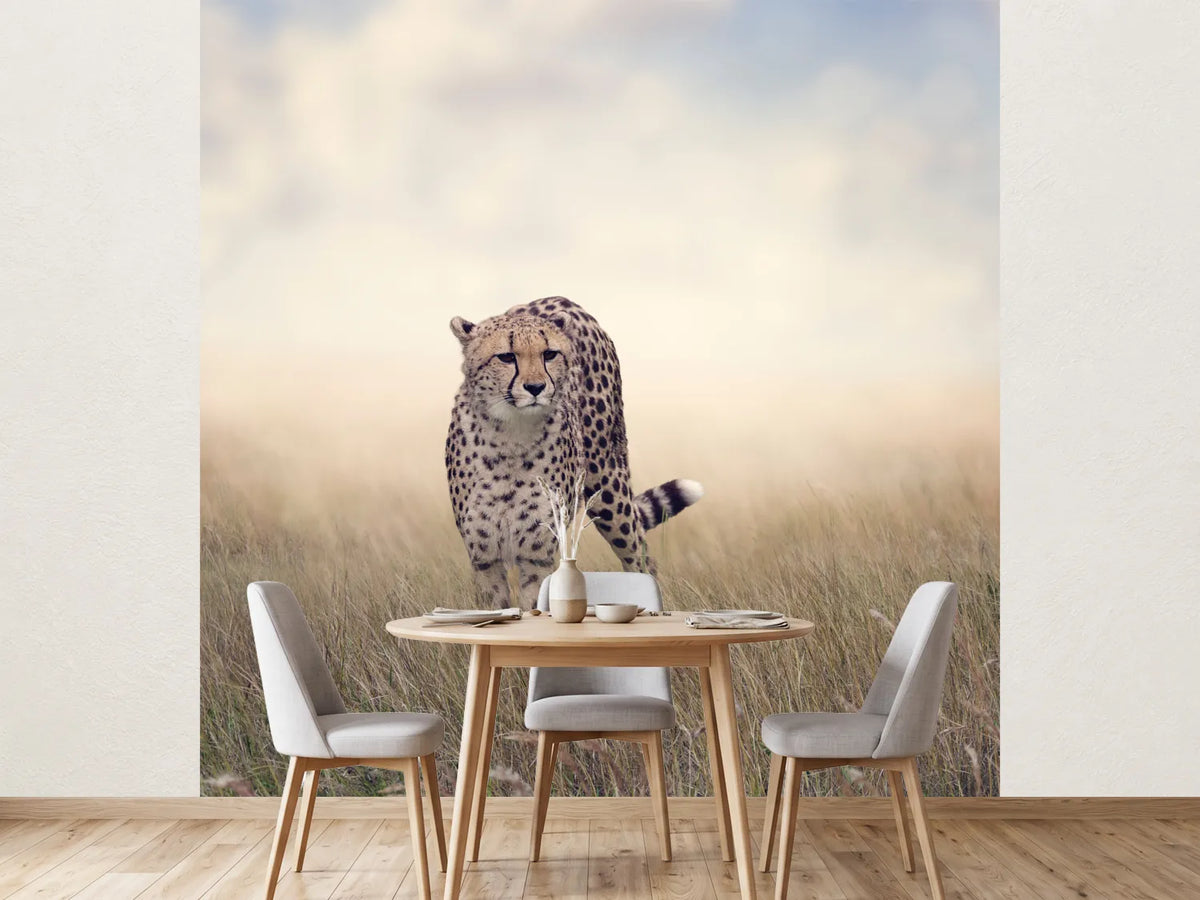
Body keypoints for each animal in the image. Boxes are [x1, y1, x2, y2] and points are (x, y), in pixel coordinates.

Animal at [445, 296, 703, 608]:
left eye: (549, 354)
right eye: (506, 357)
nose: (535, 387)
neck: (511, 436)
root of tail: (562, 299)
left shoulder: (538, 555)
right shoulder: (484, 558)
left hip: (609, 489)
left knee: (639, 555)